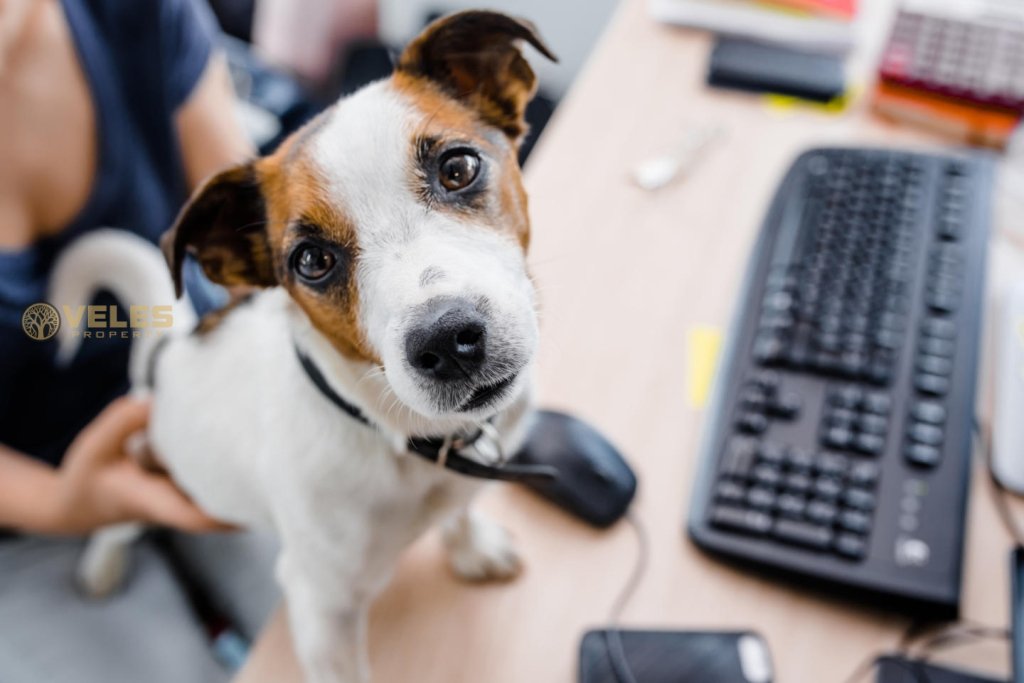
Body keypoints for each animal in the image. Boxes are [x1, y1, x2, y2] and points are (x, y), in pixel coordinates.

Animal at [51, 12, 557, 683]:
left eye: (457, 169)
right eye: (312, 261)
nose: (448, 341)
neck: (399, 439)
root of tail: (164, 354)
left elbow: (462, 508)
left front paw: (470, 546)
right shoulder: (323, 609)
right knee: (118, 521)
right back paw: (103, 561)